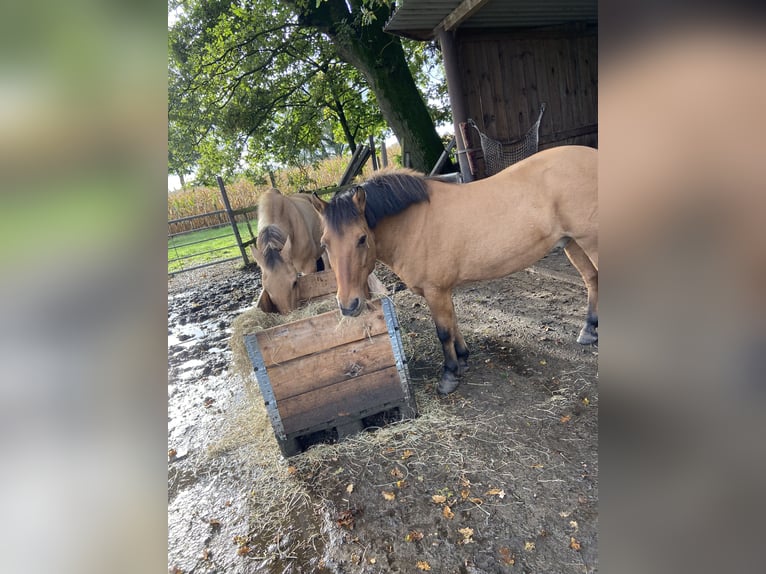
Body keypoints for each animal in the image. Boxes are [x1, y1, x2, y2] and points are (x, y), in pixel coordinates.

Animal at [312, 146, 600, 396]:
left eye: (361, 238)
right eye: (324, 243)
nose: (348, 305)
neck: (414, 224)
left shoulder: (435, 290)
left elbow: (443, 332)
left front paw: (449, 375)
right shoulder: (444, 290)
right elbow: (453, 323)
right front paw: (462, 358)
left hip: (590, 241)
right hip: (572, 243)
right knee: (591, 280)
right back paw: (589, 330)